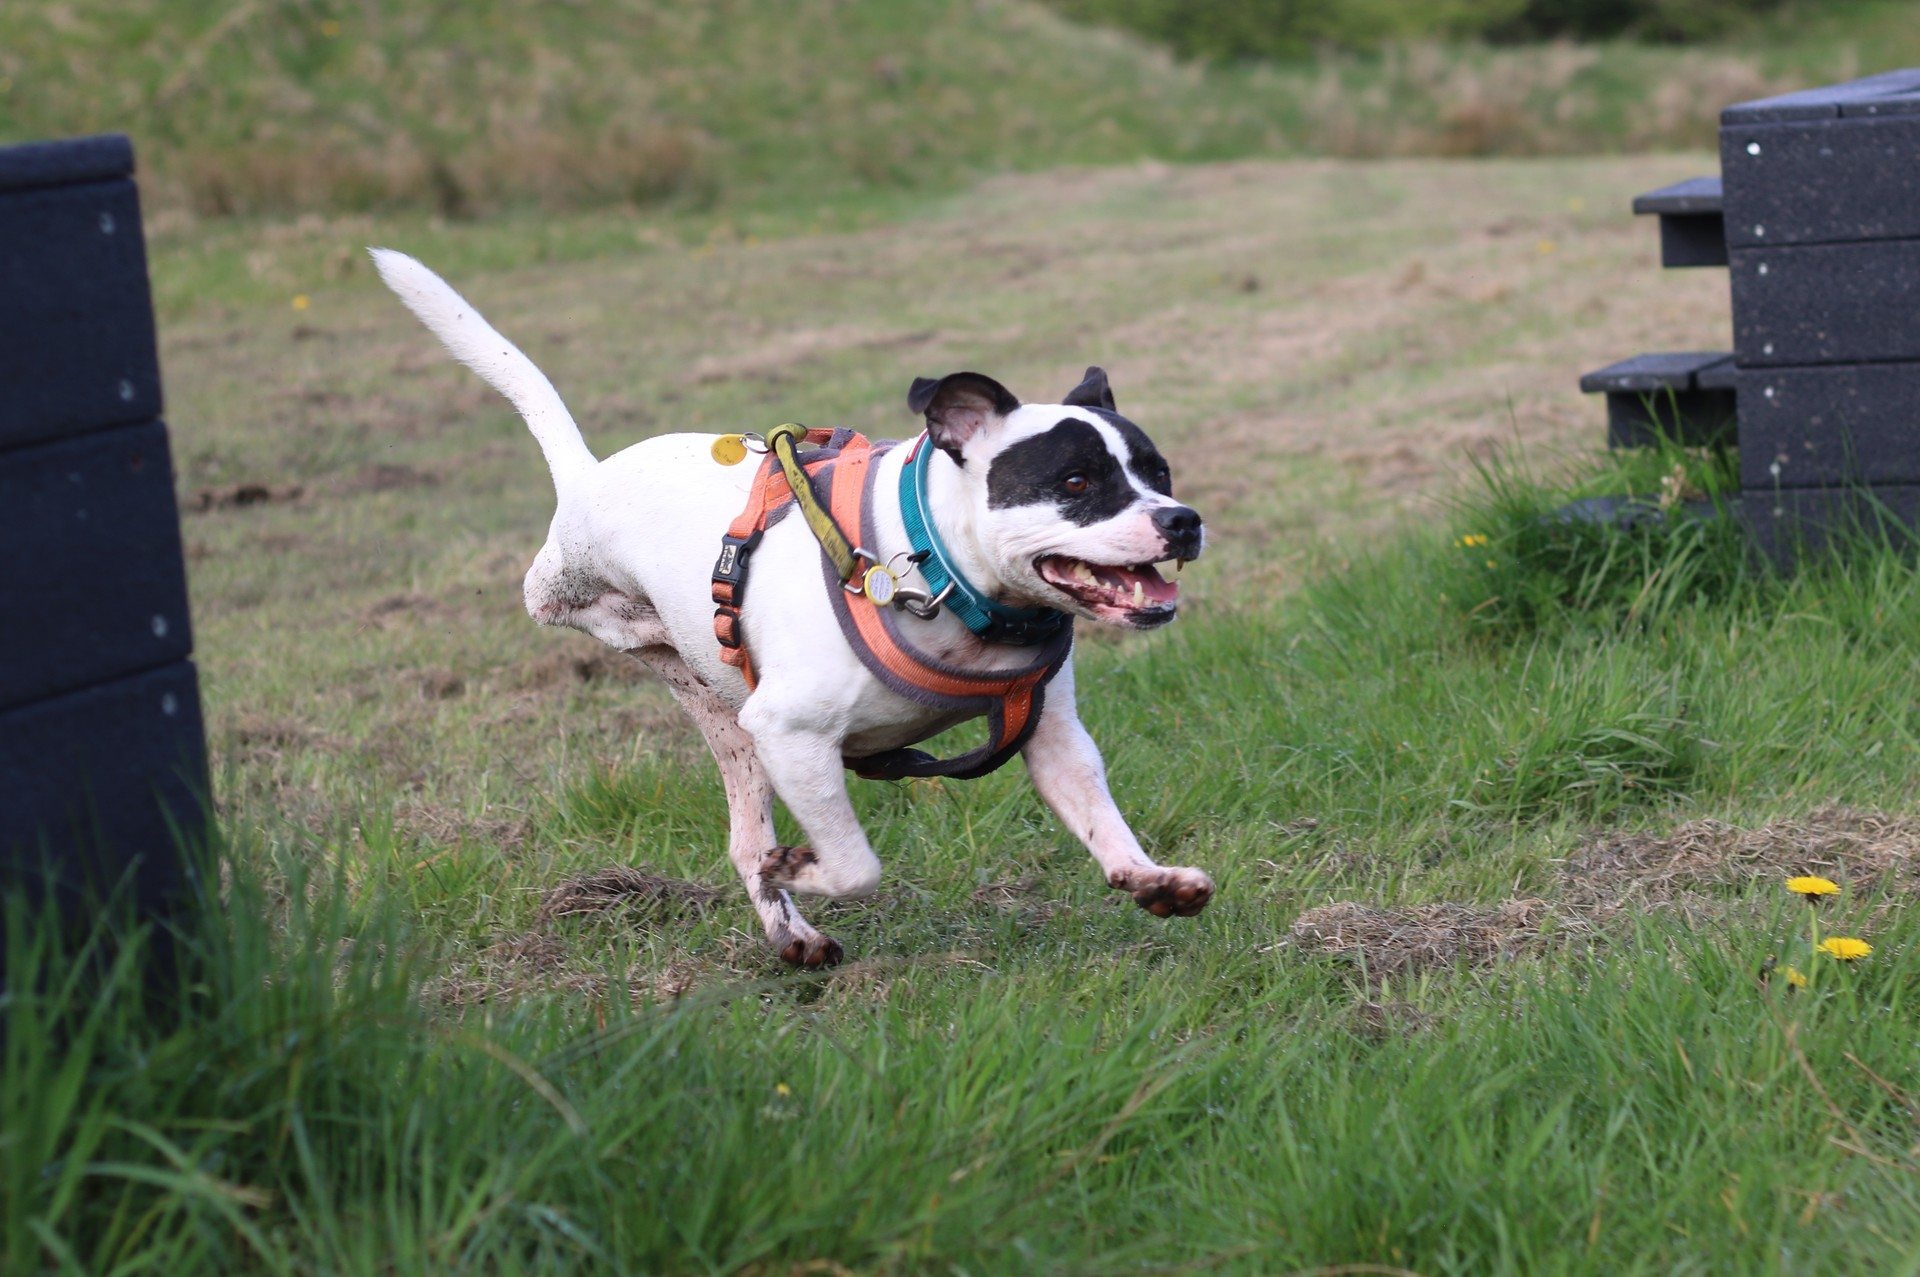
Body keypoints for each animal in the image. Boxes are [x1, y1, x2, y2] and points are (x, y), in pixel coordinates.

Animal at [370, 245, 1213, 967]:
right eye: (1075, 481)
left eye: (1159, 471)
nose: (1182, 519)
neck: (937, 573)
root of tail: (591, 473)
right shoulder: (795, 736)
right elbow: (855, 863)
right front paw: (802, 867)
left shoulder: (1051, 733)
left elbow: (1100, 816)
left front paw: (1151, 878)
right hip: (598, 603)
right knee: (541, 594)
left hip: (729, 727)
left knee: (743, 841)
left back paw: (790, 931)